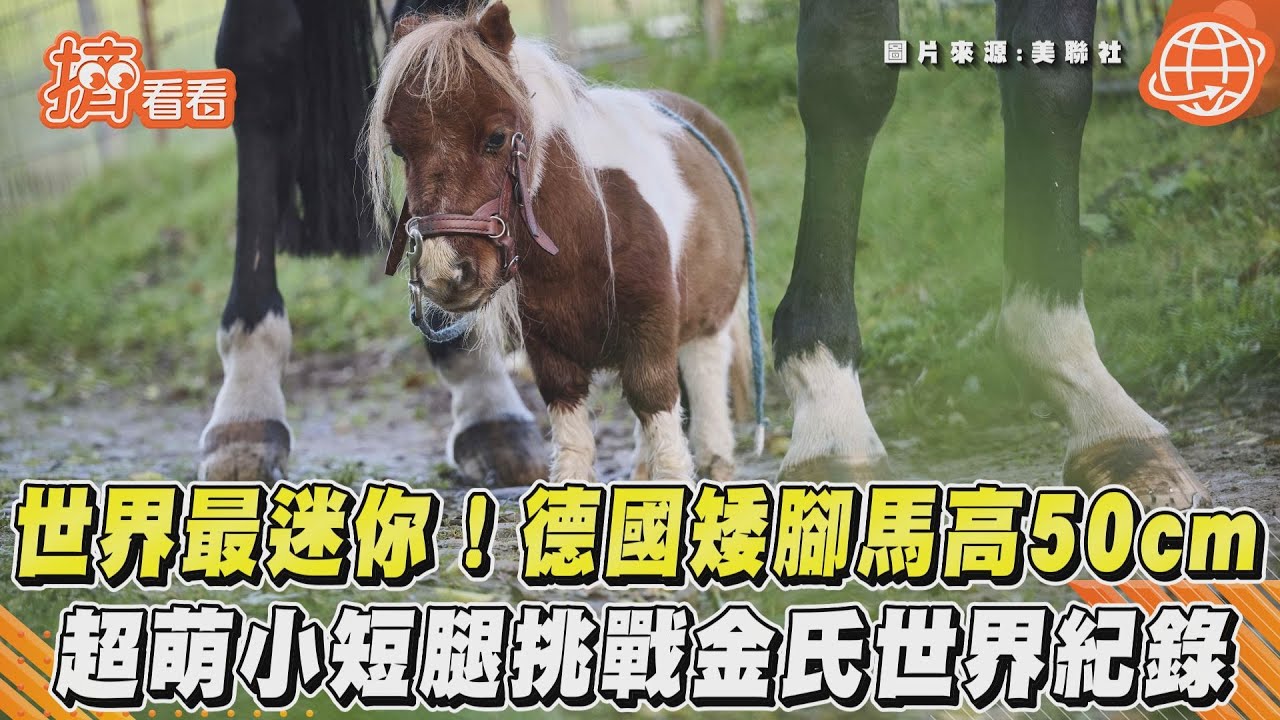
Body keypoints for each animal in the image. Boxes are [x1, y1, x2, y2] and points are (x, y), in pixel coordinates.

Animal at [365, 2, 759, 482]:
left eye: (496, 137)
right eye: (400, 149)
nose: (445, 273)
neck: (587, 233)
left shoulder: (651, 339)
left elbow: (664, 432)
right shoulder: (551, 357)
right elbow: (575, 449)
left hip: (708, 323)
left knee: (707, 388)